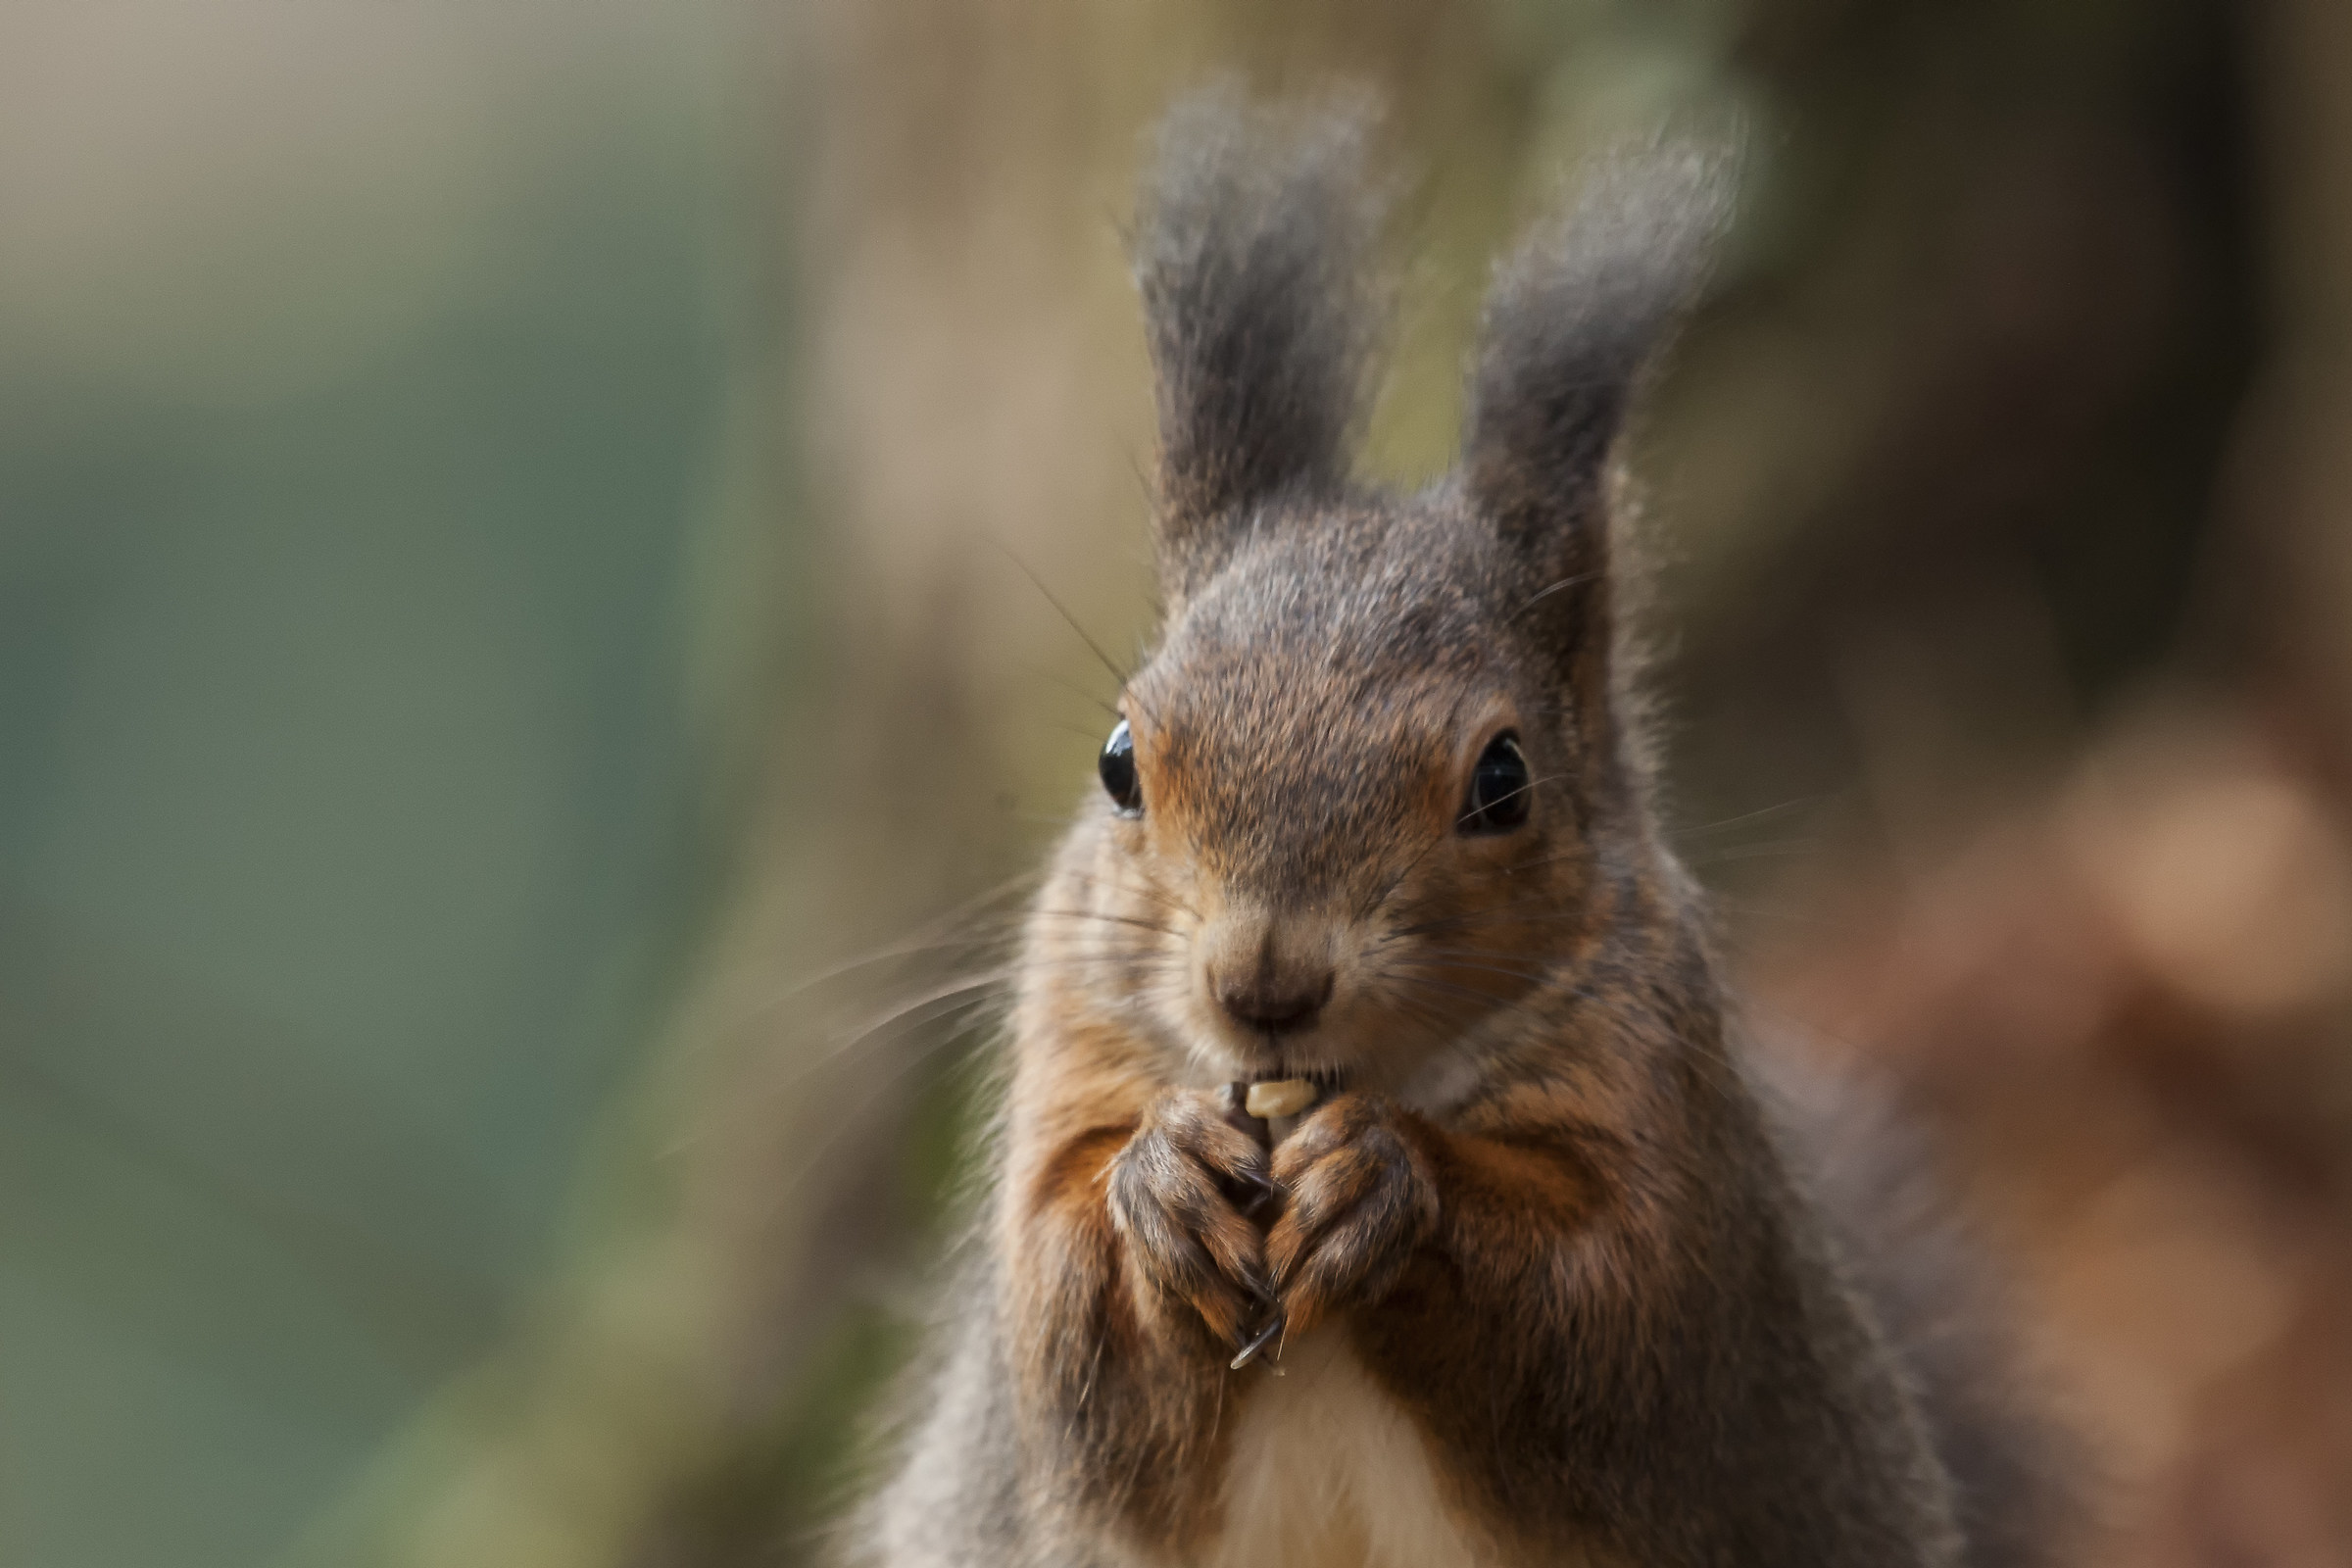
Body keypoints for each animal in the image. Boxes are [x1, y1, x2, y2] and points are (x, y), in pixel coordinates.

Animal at [850, 87, 2072, 1568]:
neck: (1332, 1087)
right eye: (1120, 762)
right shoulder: (1068, 1051)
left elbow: (1604, 1309)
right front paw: (1161, 1187)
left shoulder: (1667, 1122)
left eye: (1504, 781)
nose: (1263, 985)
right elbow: (1068, 1320)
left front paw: (1390, 1187)